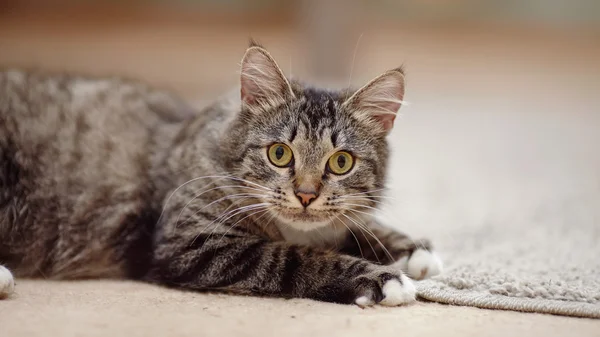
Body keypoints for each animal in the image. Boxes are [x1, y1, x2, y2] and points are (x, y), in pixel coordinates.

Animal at [0, 42, 440, 304]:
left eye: (341, 162)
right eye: (279, 154)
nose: (306, 194)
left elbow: (362, 228)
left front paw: (416, 253)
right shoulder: (192, 243)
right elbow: (295, 258)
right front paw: (381, 279)